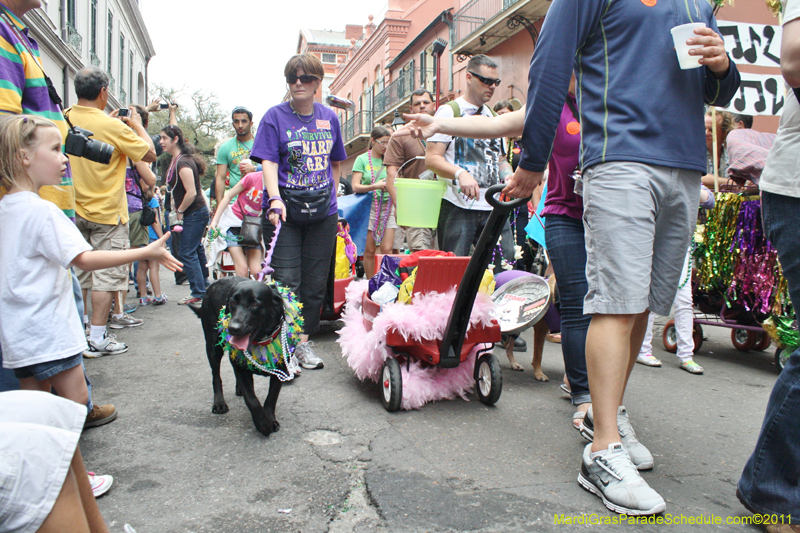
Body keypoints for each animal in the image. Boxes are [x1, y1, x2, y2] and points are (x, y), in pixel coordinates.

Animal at [190, 276, 284, 434]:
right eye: (232, 303)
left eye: (254, 304)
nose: (233, 328)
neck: (260, 341)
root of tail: (216, 282)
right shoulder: (240, 368)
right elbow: (252, 400)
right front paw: (263, 424)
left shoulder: (281, 370)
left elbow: (272, 397)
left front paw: (270, 420)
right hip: (213, 347)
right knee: (216, 376)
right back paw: (219, 403)